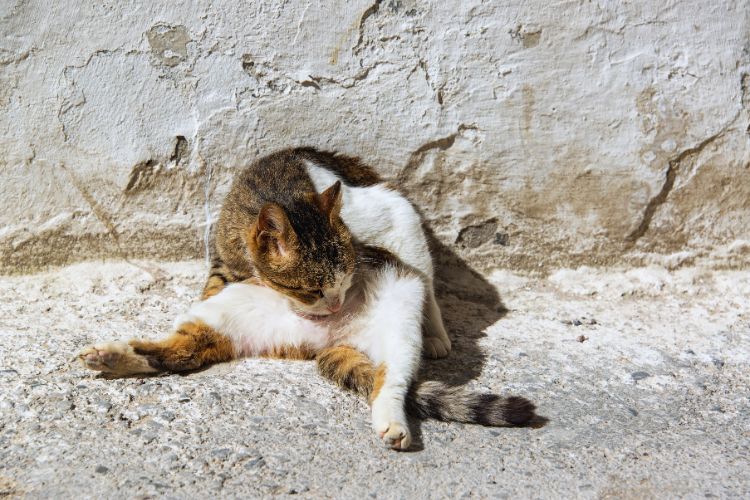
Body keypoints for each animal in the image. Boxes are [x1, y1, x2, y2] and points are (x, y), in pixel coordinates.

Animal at [79, 147, 536, 450]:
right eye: (310, 291)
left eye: (346, 281)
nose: (334, 306)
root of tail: (333, 340)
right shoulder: (225, 264)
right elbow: (212, 282)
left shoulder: (386, 219)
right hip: (228, 316)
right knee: (179, 352)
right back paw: (111, 357)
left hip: (401, 318)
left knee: (394, 373)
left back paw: (407, 395)